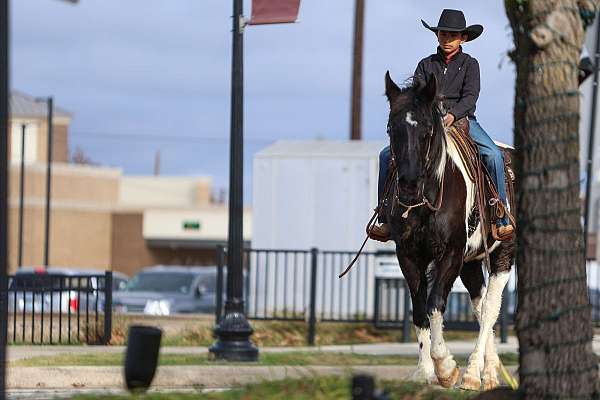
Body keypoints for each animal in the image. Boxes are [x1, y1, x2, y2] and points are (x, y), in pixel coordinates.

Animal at [382, 72, 512, 390]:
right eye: (392, 128)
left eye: (428, 130)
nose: (408, 185)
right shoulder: (408, 256)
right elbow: (419, 310)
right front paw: (425, 372)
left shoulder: (450, 254)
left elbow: (435, 304)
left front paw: (446, 367)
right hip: (471, 263)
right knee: (480, 307)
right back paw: (489, 374)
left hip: (503, 254)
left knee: (490, 309)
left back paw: (472, 374)